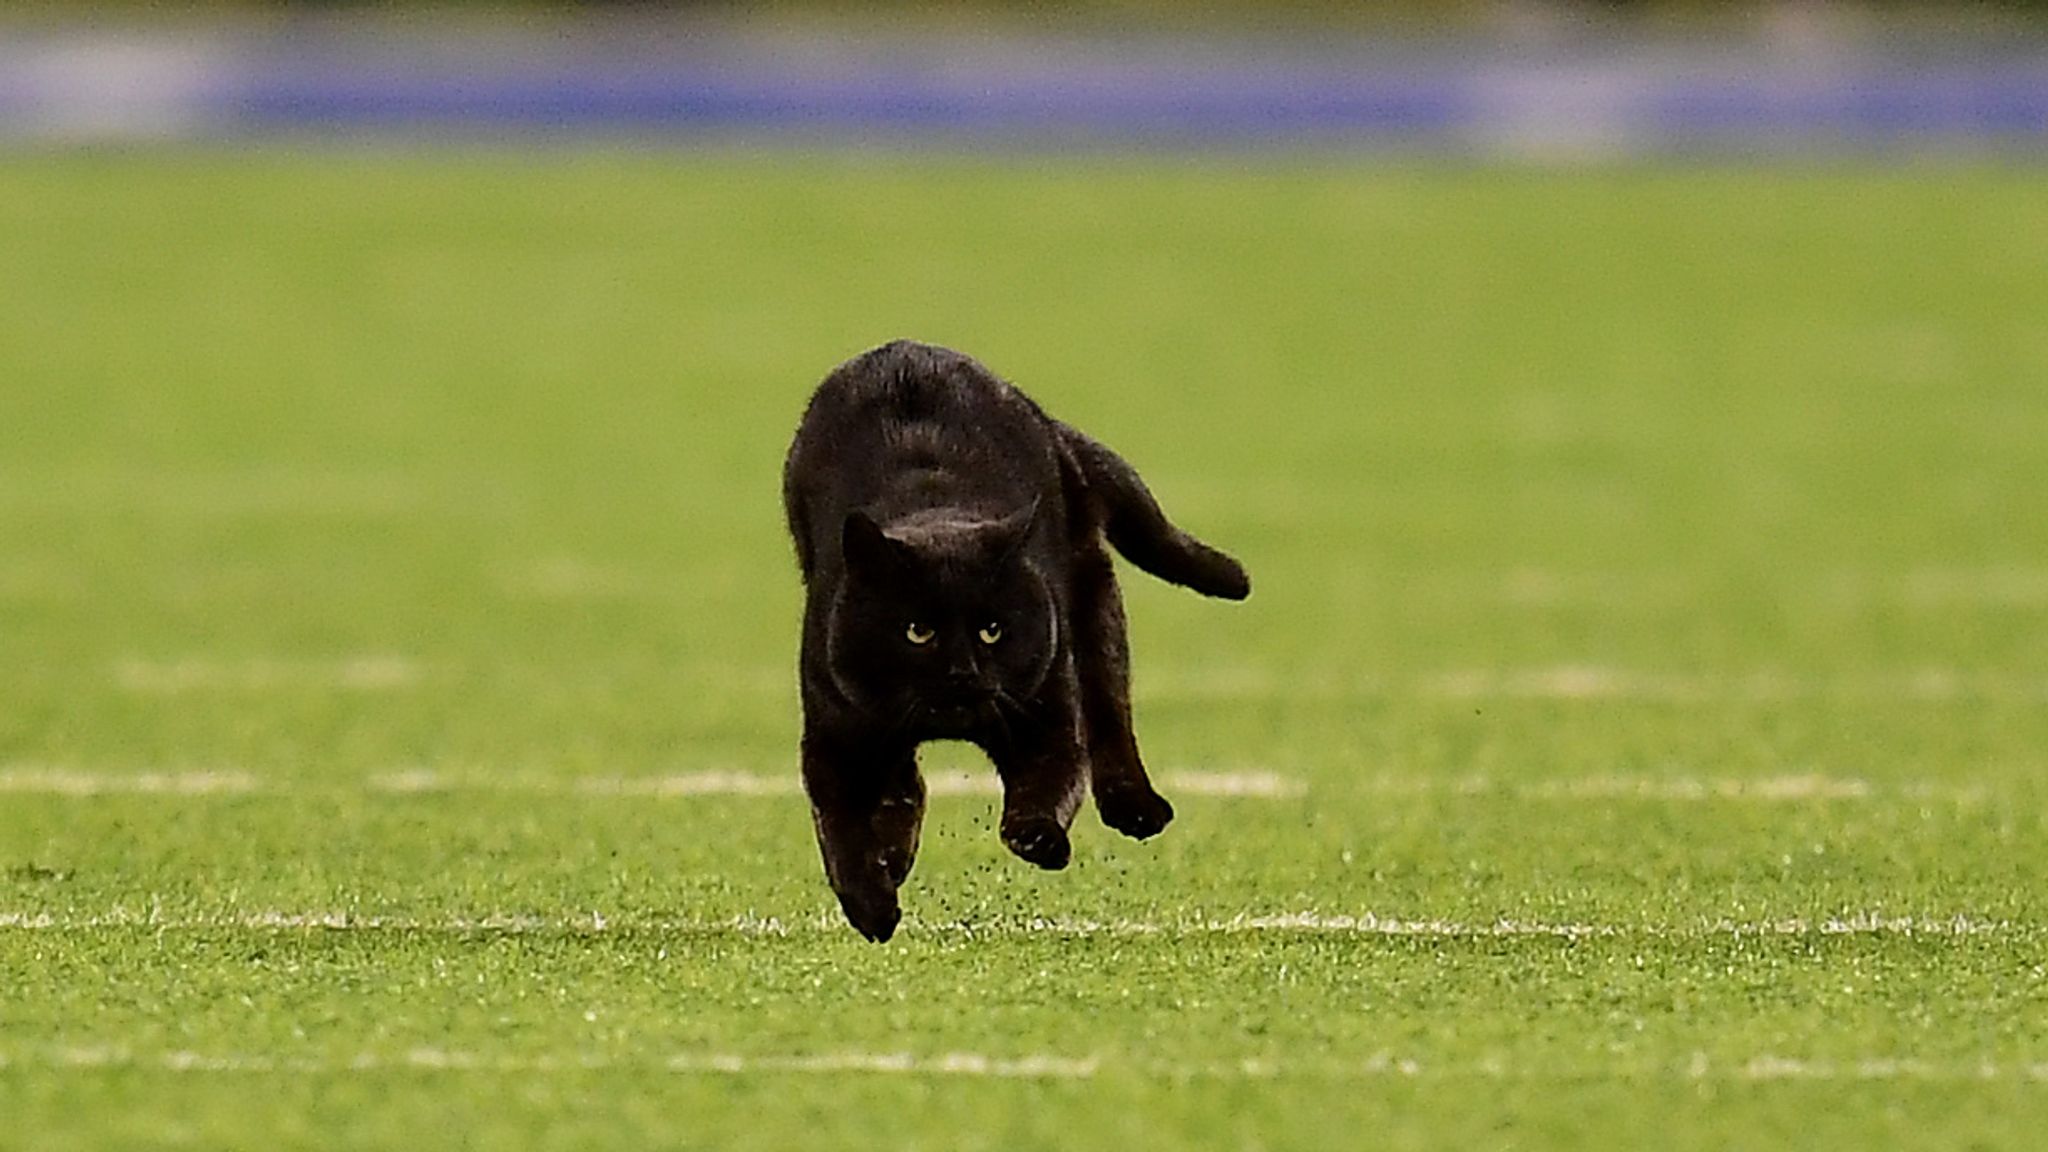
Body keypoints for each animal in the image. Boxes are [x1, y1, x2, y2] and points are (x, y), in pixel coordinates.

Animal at [782, 336, 1245, 938]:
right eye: (918, 630)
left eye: (992, 630)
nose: (962, 672)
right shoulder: (840, 740)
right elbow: (842, 835)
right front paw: (872, 907)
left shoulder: (1045, 719)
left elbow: (1044, 787)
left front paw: (1040, 841)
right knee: (907, 786)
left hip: (1091, 601)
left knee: (1110, 711)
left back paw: (1136, 810)